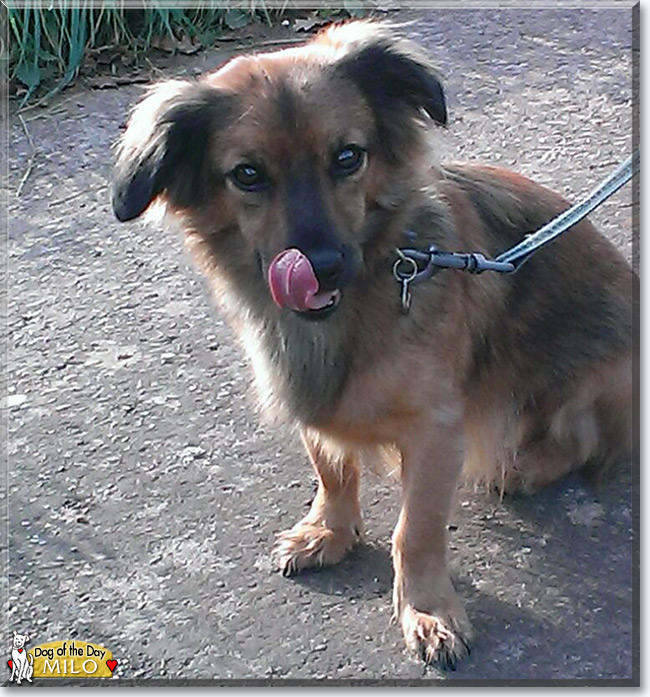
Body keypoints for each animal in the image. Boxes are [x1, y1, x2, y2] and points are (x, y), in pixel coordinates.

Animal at [111, 19, 632, 668]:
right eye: (247, 174)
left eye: (347, 157)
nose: (322, 267)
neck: (360, 304)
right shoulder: (314, 394)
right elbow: (332, 470)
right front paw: (329, 532)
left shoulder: (436, 432)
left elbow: (416, 531)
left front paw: (428, 611)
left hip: (590, 378)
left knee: (587, 443)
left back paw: (524, 466)